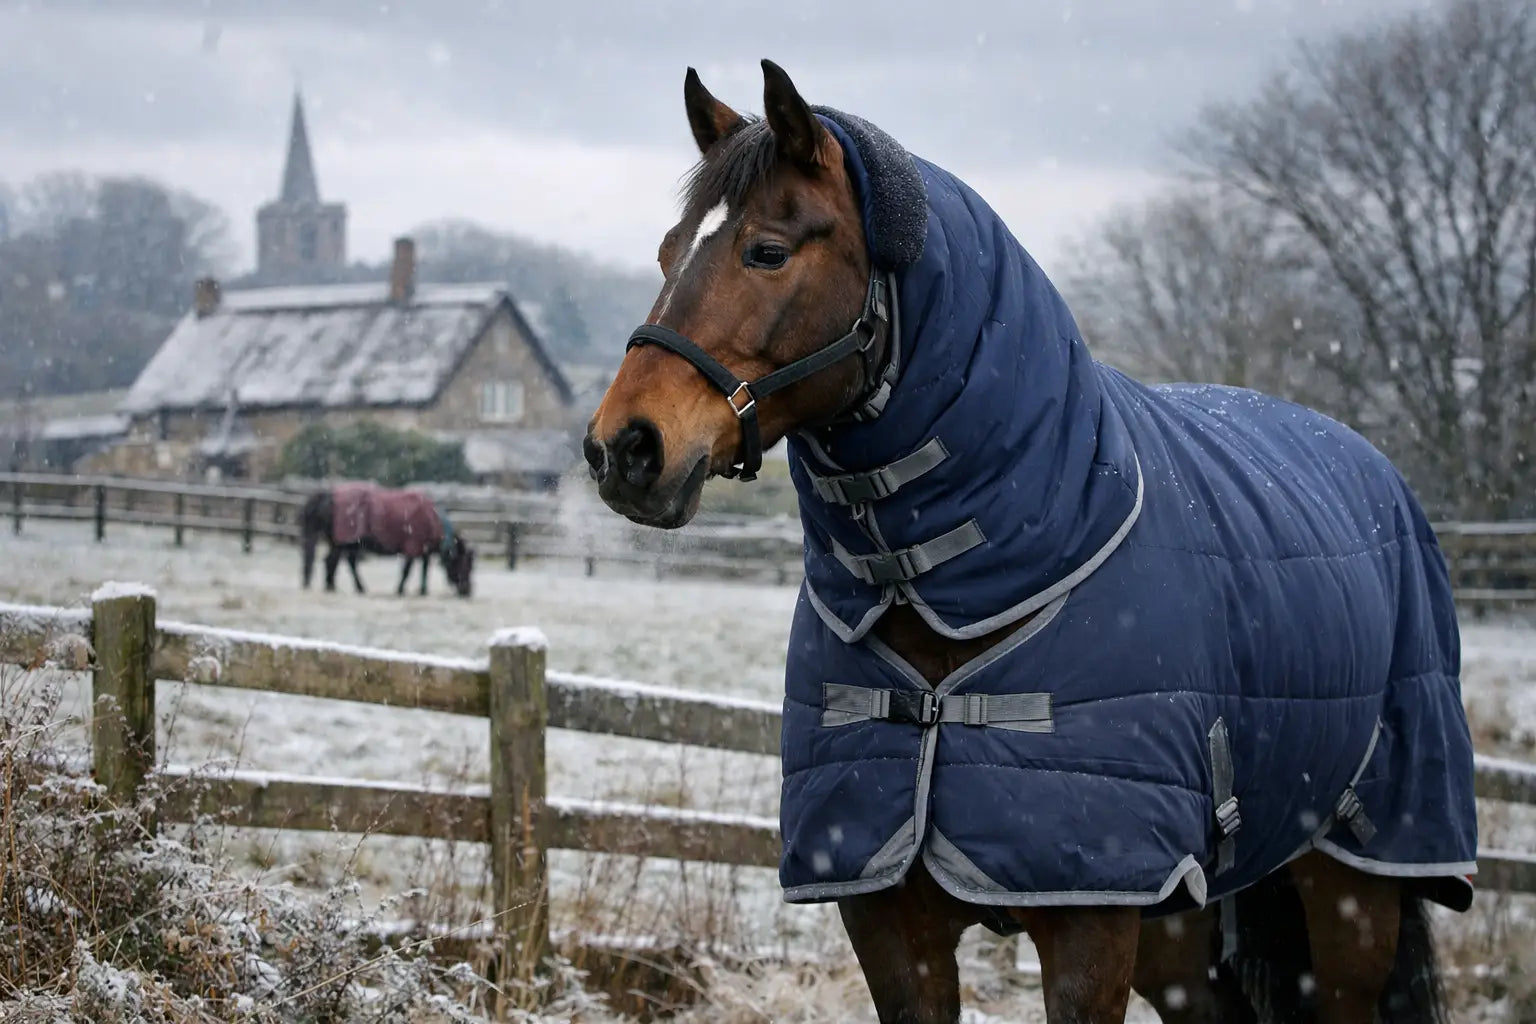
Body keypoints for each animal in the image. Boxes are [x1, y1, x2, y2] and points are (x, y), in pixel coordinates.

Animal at [299, 482, 474, 598]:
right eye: (465, 565)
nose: (467, 591)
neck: (431, 518)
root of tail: (329, 495)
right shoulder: (412, 547)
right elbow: (406, 571)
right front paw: (400, 590)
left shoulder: (424, 550)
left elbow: (424, 569)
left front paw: (423, 590)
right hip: (342, 543)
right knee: (334, 561)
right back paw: (336, 587)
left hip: (344, 544)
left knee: (339, 562)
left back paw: (346, 586)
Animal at [583, 60, 1477, 1024]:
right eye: (669, 251)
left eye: (768, 252)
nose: (624, 448)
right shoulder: (893, 919)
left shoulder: (1091, 918)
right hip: (1184, 921)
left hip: (1352, 888)